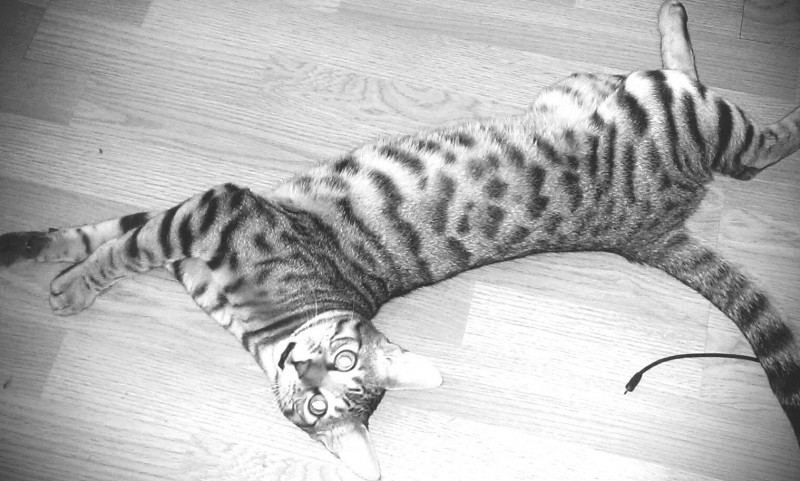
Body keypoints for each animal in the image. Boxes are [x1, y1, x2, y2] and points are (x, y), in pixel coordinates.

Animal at [1, 1, 799, 479]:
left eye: (338, 381)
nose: (305, 373)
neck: (265, 326)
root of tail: (643, 233)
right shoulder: (196, 224)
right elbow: (105, 232)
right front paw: (34, 250)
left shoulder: (216, 213)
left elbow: (123, 246)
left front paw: (70, 287)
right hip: (588, 90)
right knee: (679, 80)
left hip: (681, 116)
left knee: (753, 148)